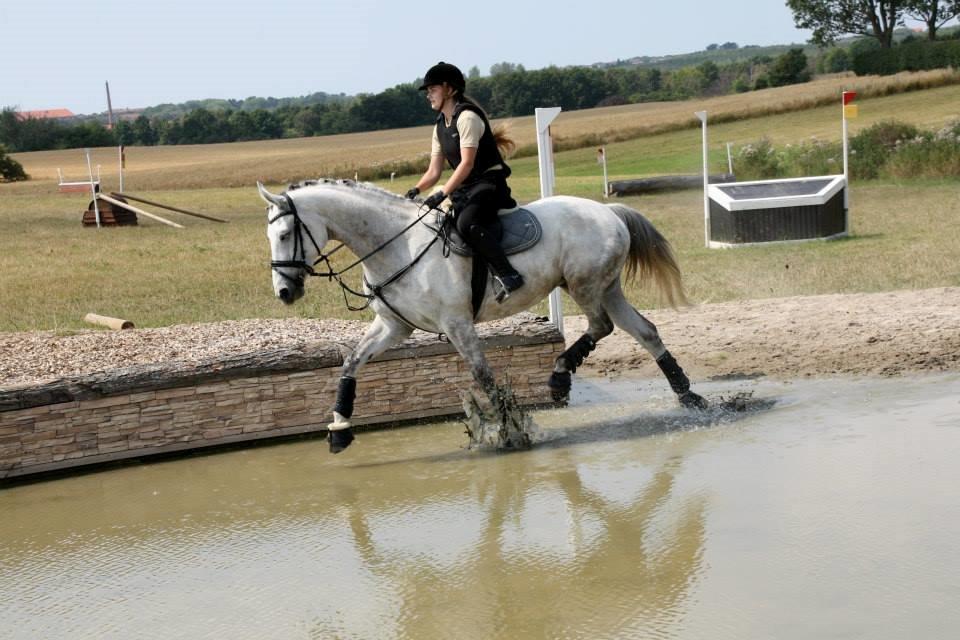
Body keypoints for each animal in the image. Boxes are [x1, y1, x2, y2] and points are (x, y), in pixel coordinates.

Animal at [258, 178, 708, 452]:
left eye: (285, 234)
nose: (284, 293)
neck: (396, 245)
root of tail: (608, 211)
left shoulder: (456, 324)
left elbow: (483, 375)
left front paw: (509, 432)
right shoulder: (394, 326)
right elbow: (351, 363)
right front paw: (339, 429)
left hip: (584, 285)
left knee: (603, 325)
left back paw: (560, 378)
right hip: (605, 287)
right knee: (644, 331)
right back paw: (689, 396)